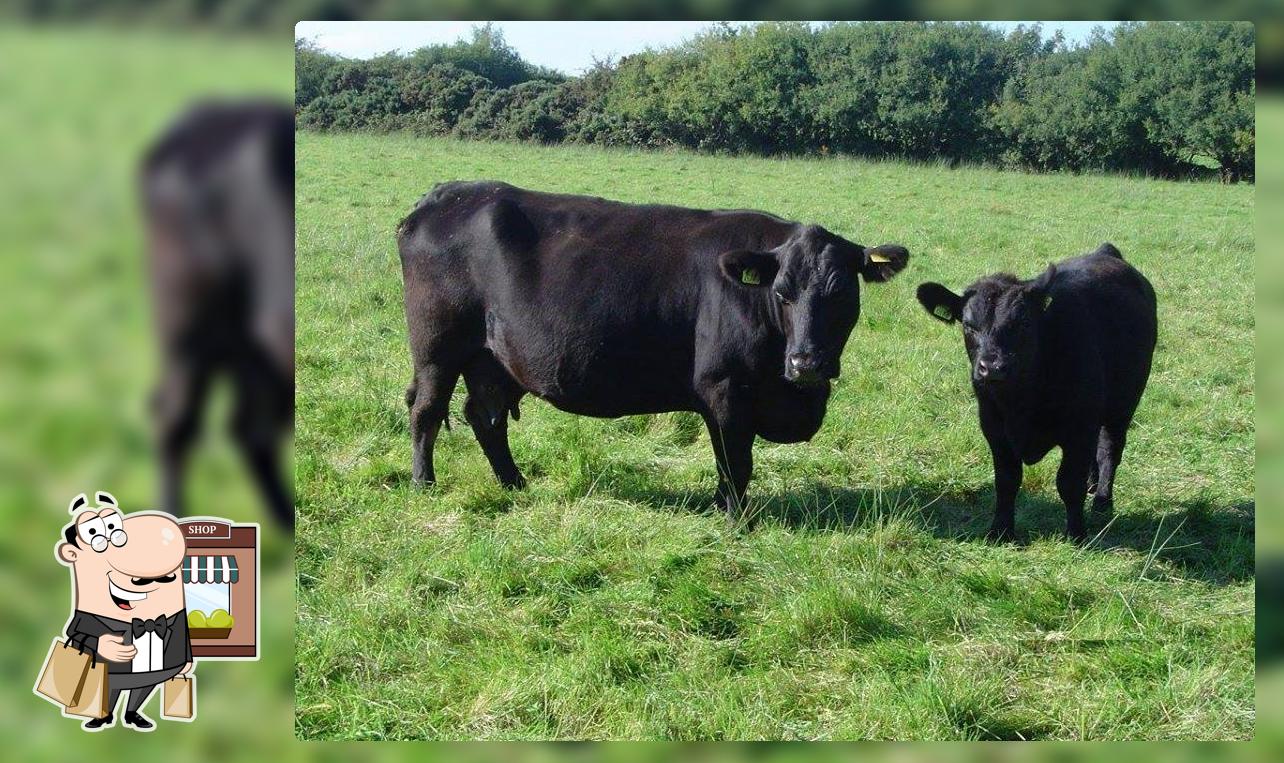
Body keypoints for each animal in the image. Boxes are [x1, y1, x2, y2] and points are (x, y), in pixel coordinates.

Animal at [397, 181, 910, 520]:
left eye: (841, 293)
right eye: (782, 293)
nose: (806, 362)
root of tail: (443, 196)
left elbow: (728, 462)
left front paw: (723, 508)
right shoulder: (725, 389)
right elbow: (736, 461)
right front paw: (736, 520)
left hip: (492, 358)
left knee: (486, 415)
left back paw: (514, 484)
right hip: (438, 347)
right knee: (427, 409)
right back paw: (424, 484)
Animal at [915, 243, 1157, 541]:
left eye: (1024, 323)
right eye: (968, 325)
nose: (992, 367)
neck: (1021, 401)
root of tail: (1105, 252)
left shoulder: (1079, 428)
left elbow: (1069, 482)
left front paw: (1076, 534)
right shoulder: (993, 427)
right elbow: (1006, 481)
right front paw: (1000, 531)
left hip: (1123, 404)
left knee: (1110, 449)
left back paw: (1102, 501)